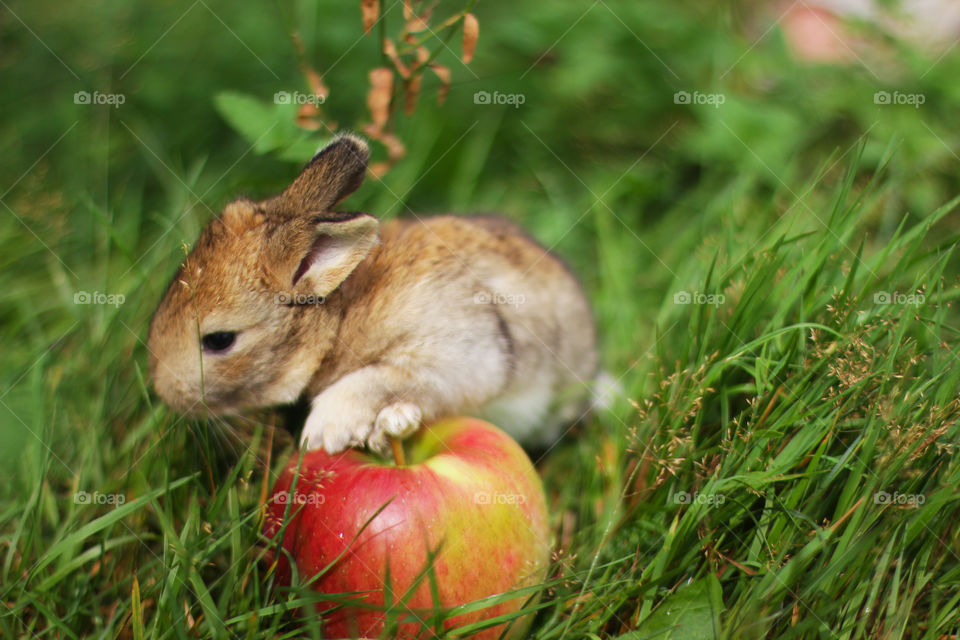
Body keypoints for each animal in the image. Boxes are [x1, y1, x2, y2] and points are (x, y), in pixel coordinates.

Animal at [146, 134, 596, 456]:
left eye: (220, 340)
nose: (165, 393)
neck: (339, 316)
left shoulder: (456, 351)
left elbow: (381, 376)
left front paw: (326, 430)